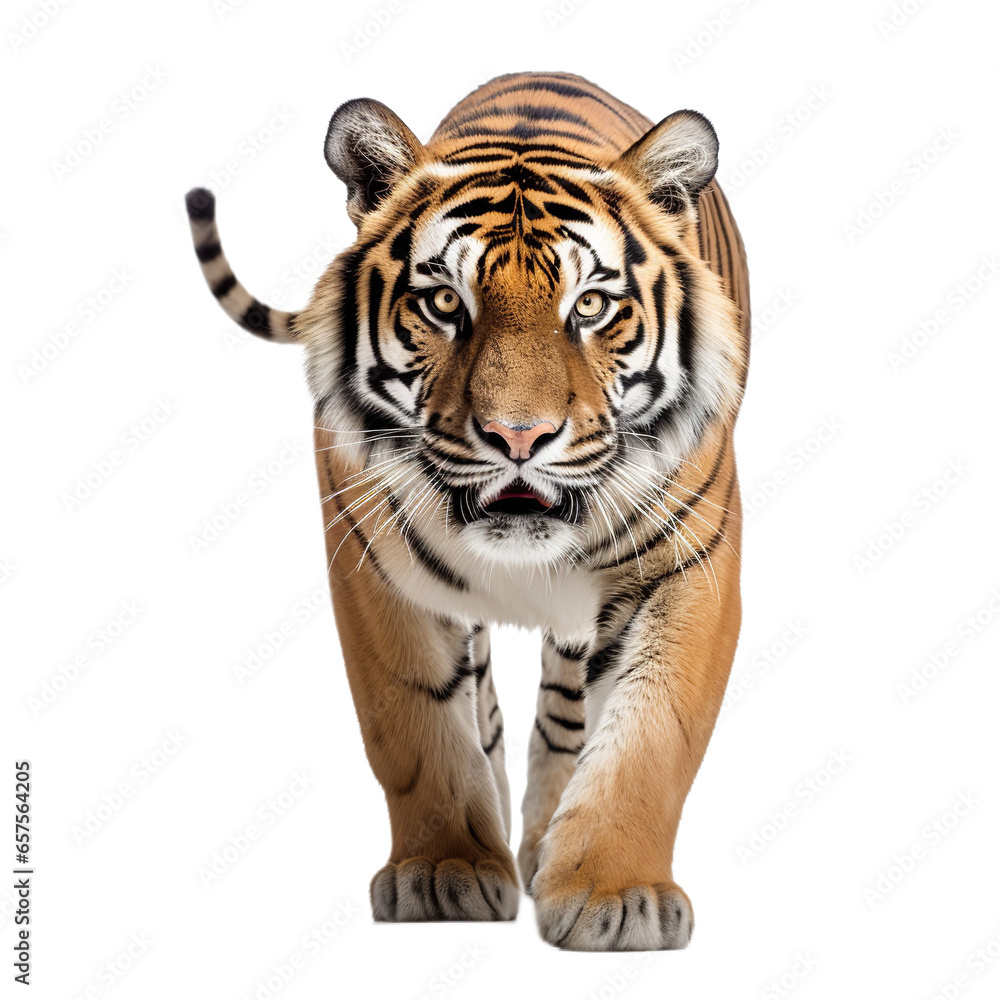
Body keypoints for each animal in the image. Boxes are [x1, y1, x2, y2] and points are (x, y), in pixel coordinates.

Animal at [185, 71, 749, 951]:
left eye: (590, 307)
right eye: (445, 304)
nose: (518, 436)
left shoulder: (690, 563)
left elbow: (652, 734)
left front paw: (615, 893)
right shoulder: (373, 564)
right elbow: (417, 726)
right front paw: (444, 871)